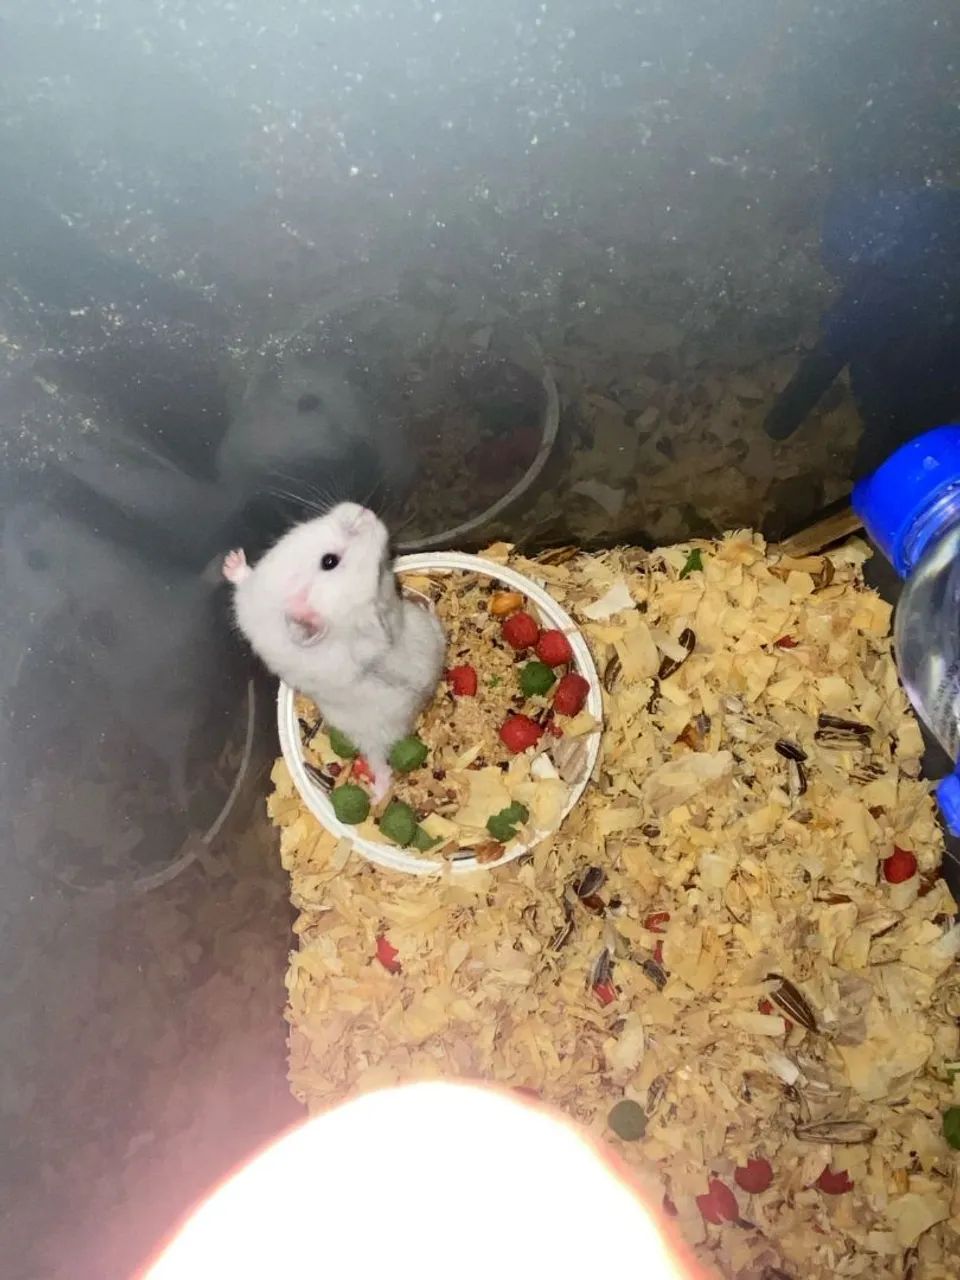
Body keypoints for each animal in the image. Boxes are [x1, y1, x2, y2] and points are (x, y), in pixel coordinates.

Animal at [223, 502, 445, 801]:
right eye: (329, 561)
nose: (366, 511)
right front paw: (231, 559)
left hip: (373, 736)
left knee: (379, 761)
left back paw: (377, 795)